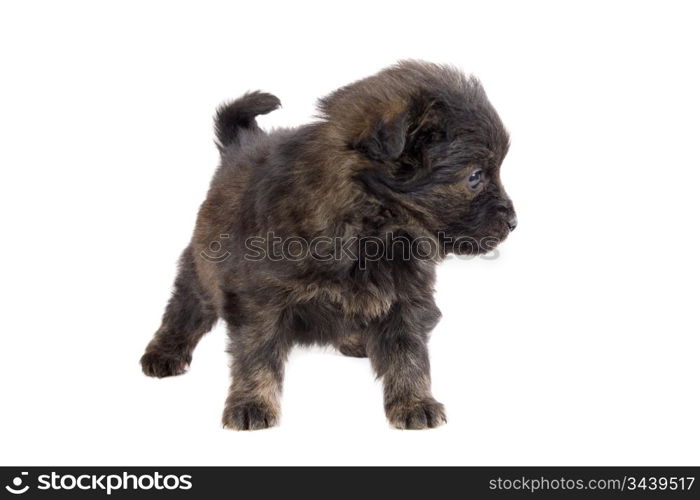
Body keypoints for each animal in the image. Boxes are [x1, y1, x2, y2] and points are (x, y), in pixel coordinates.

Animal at [141, 61, 516, 430]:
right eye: (475, 177)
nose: (514, 221)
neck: (371, 229)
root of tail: (238, 148)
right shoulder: (259, 298)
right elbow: (257, 352)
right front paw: (251, 403)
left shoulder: (406, 297)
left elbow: (409, 353)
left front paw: (414, 402)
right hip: (202, 268)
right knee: (184, 307)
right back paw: (163, 353)